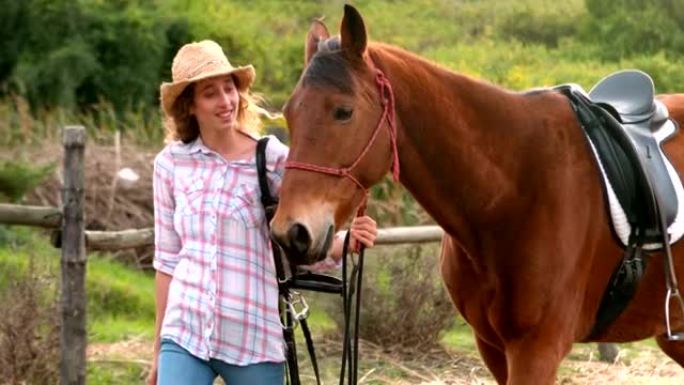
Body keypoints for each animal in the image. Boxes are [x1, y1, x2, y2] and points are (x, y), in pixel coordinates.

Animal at [270, 3, 684, 384]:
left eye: (344, 111)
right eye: (289, 113)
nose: (291, 232)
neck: (510, 190)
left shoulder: (537, 350)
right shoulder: (493, 347)